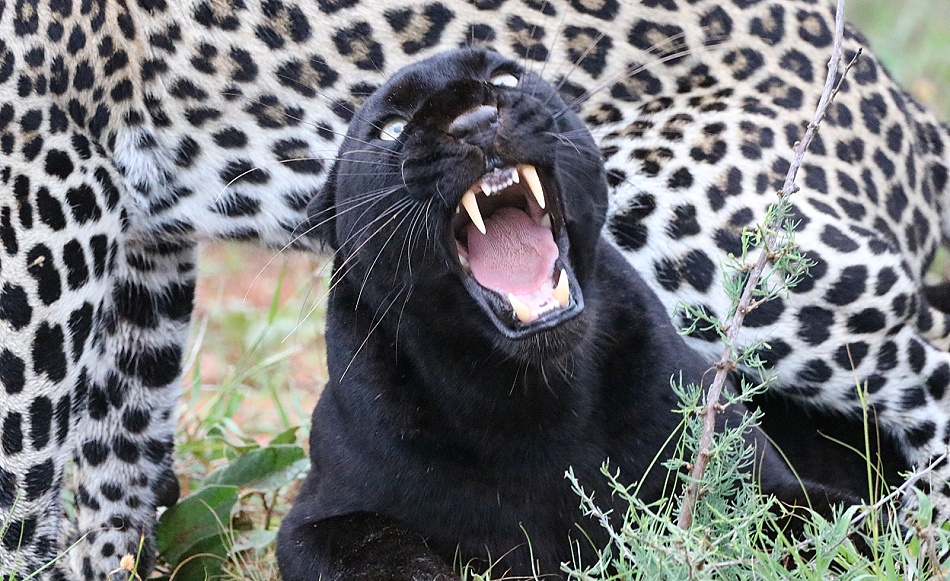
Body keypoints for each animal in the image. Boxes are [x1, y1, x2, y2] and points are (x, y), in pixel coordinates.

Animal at [0, 0, 948, 579]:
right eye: (387, 126)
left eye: (504, 80)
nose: (471, 120)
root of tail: (897, 98)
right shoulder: (119, 216)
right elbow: (113, 438)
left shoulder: (42, 163)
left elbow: (22, 447)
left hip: (715, 228)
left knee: (925, 364)